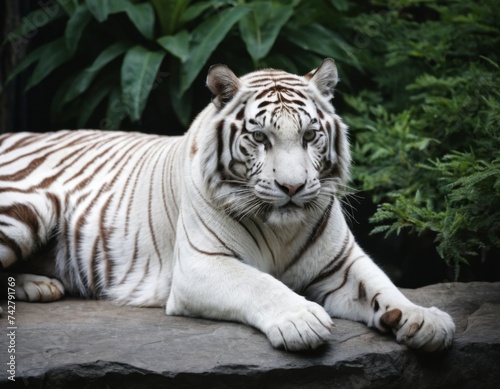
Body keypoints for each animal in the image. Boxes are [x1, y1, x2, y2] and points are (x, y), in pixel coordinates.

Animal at [0, 58, 454, 352]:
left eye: (309, 136)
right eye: (260, 137)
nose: (292, 187)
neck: (282, 228)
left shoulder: (342, 262)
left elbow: (382, 286)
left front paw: (424, 319)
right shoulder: (201, 264)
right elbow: (259, 283)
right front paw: (301, 319)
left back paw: (40, 284)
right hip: (26, 208)